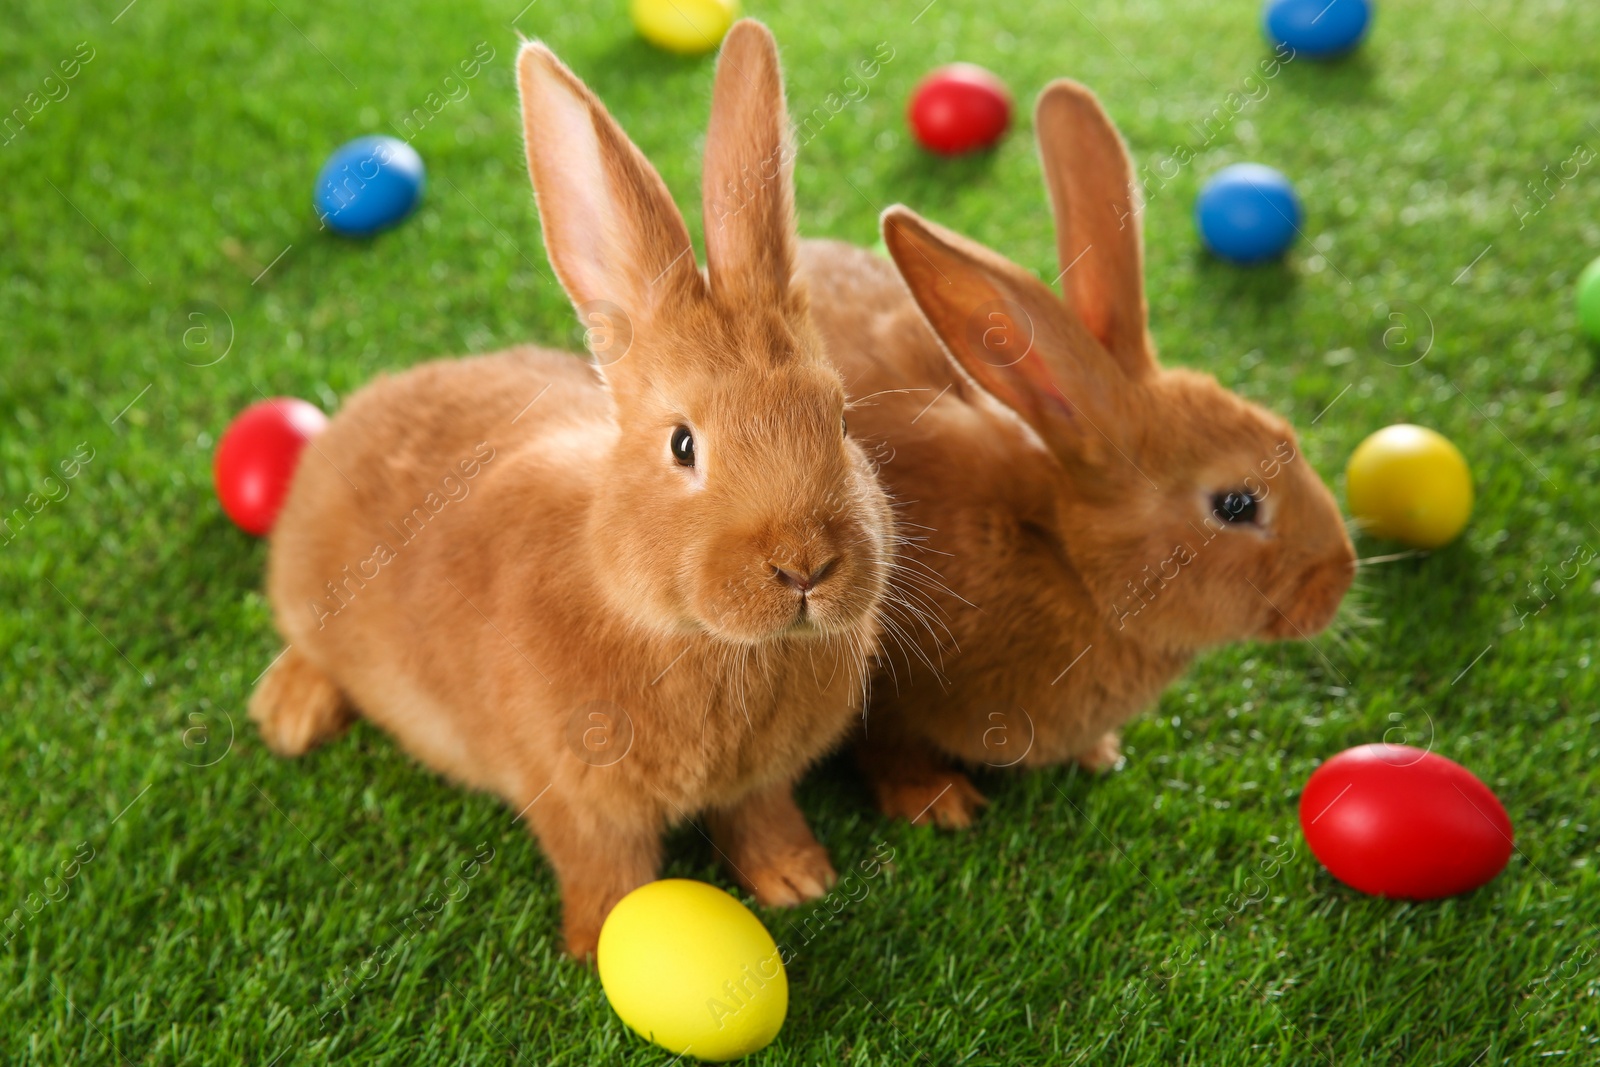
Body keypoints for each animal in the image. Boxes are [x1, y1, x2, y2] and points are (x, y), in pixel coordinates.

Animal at [254, 22, 896, 959]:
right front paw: (599, 944)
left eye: (840, 418)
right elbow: (607, 867)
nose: (805, 566)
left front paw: (799, 879)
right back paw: (289, 713)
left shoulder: (758, 783)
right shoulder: (574, 800)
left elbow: (760, 816)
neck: (689, 633)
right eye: (682, 443)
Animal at [796, 81, 1350, 825]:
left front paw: (1099, 754)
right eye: (1236, 504)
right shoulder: (883, 689)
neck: (1058, 550)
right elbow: (889, 745)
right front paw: (940, 805)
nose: (1337, 584)